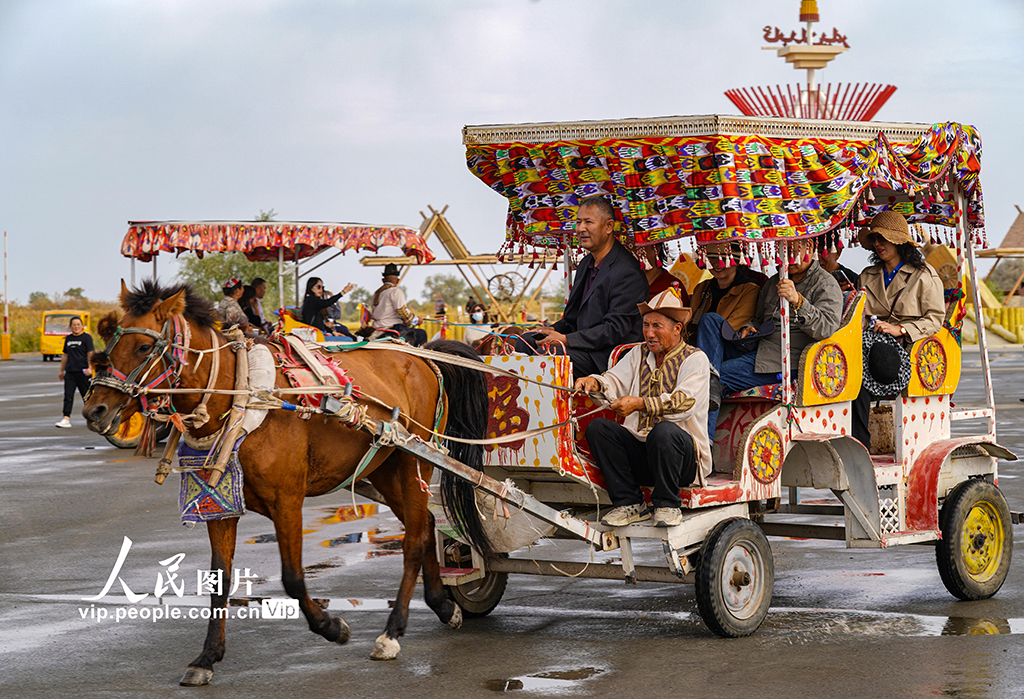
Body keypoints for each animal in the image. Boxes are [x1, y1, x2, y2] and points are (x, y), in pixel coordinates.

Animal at [83, 282, 491, 687]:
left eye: (143, 347)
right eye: (109, 342)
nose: (93, 410)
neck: (243, 397)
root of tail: (421, 358)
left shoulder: (288, 500)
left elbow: (293, 578)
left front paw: (332, 627)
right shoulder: (219, 506)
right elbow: (220, 581)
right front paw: (207, 657)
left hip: (413, 460)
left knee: (415, 539)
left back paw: (392, 632)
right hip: (384, 468)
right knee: (424, 525)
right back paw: (443, 605)